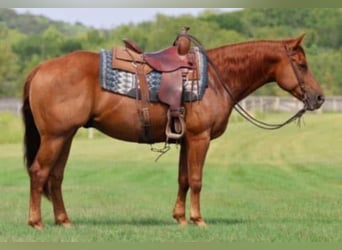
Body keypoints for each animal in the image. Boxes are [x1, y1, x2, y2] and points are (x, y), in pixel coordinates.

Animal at [22, 34, 324, 229]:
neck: (215, 80)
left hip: (66, 136)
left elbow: (183, 179)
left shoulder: (187, 140)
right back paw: (36, 222)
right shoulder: (200, 138)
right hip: (55, 137)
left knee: (55, 177)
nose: (319, 98)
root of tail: (40, 68)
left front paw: (179, 217)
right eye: (301, 64)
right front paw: (198, 219)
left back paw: (64, 221)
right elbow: (197, 180)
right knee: (39, 173)